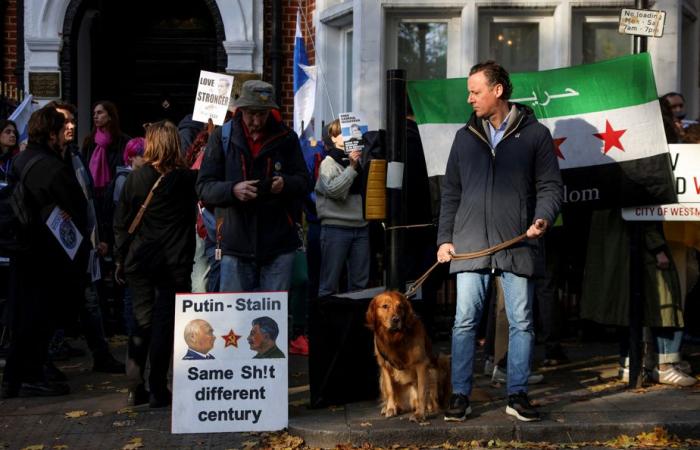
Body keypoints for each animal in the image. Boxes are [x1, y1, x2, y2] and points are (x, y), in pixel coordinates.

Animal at [364, 290, 452, 424]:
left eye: (400, 306)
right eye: (385, 306)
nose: (396, 319)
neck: (396, 339)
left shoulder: (422, 364)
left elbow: (422, 391)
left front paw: (420, 414)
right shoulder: (384, 366)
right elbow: (390, 390)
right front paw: (391, 408)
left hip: (443, 360)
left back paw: (432, 408)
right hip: (381, 378)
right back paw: (393, 407)